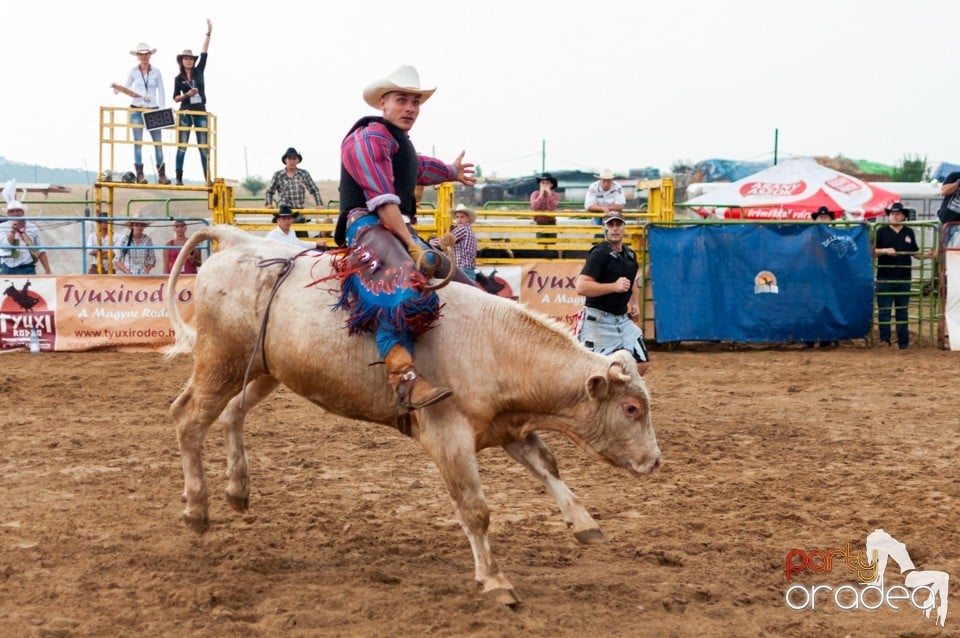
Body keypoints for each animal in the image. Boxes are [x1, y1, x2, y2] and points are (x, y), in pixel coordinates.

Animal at [165, 228, 660, 608]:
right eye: (631, 408)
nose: (655, 462)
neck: (494, 345)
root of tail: (238, 239)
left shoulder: (507, 428)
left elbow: (547, 466)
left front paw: (584, 523)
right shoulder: (447, 437)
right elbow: (475, 509)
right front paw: (495, 581)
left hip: (264, 371)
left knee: (231, 414)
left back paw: (237, 488)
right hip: (221, 362)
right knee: (188, 417)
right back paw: (195, 509)